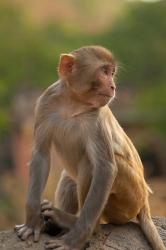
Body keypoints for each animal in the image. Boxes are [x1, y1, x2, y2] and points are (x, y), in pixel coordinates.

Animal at [14, 46, 165, 249]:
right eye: (104, 71)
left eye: (112, 73)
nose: (113, 86)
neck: (73, 102)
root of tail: (145, 204)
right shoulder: (45, 103)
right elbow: (41, 155)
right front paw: (32, 223)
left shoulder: (97, 117)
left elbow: (105, 168)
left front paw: (73, 241)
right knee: (70, 178)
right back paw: (54, 223)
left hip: (129, 198)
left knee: (90, 164)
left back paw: (79, 225)